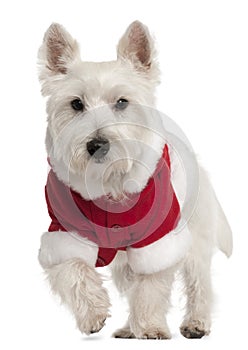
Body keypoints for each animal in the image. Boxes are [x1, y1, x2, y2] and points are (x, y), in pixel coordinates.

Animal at [37, 21, 232, 340]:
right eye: (76, 104)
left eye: (121, 102)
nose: (97, 144)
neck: (108, 183)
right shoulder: (64, 232)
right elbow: (74, 270)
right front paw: (93, 314)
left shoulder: (158, 236)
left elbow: (150, 287)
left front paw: (151, 327)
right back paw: (129, 328)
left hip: (195, 237)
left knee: (199, 282)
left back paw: (196, 322)